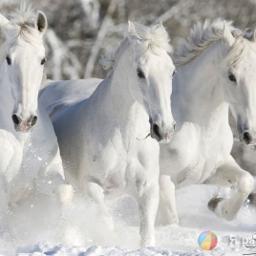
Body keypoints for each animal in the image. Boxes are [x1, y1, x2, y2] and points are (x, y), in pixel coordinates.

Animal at [0, 6, 65, 205]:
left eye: (42, 60)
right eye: (8, 58)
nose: (24, 120)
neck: (22, 140)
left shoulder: (47, 175)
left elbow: (64, 193)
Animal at [41, 23, 176, 247]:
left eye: (172, 71)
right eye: (140, 72)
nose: (164, 128)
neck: (125, 140)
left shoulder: (147, 188)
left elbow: (147, 231)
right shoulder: (91, 186)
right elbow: (105, 221)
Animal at [159, 19, 256, 224]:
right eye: (231, 76)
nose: (250, 135)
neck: (200, 128)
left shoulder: (210, 171)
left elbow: (246, 181)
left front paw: (216, 204)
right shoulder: (162, 179)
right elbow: (171, 220)